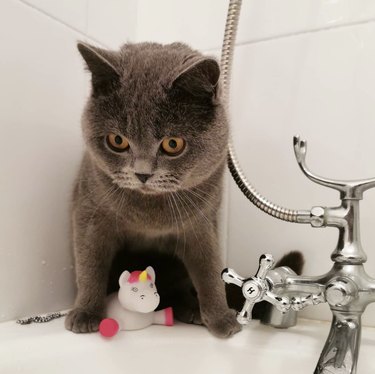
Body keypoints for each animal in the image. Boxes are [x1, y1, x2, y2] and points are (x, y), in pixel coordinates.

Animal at [64, 42, 241, 338]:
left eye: (173, 144)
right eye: (117, 140)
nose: (142, 173)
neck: (150, 213)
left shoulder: (202, 223)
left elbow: (209, 269)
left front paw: (222, 318)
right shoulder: (89, 212)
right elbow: (90, 264)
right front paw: (86, 313)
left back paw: (190, 308)